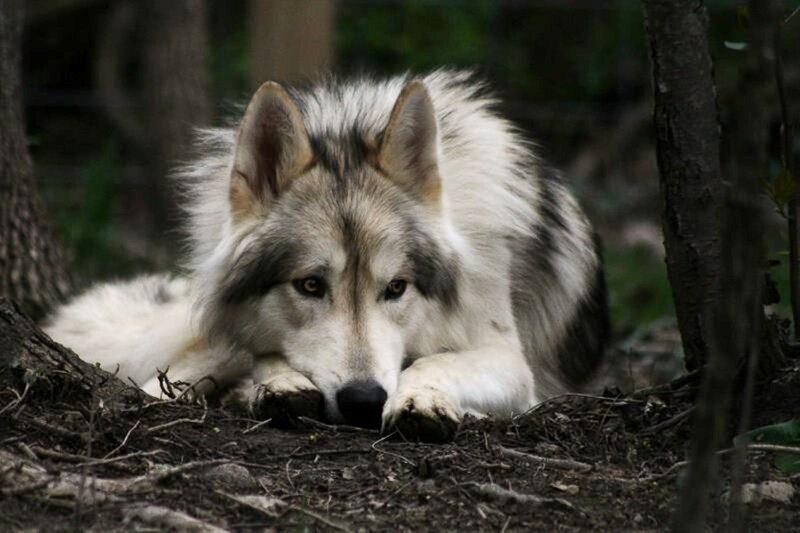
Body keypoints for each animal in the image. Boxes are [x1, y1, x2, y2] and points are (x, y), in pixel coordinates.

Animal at [44, 71, 609, 442]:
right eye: (311, 285)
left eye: (396, 288)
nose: (363, 401)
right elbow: (260, 355)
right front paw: (279, 383)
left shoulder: (510, 359)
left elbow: (434, 363)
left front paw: (422, 399)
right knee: (166, 380)